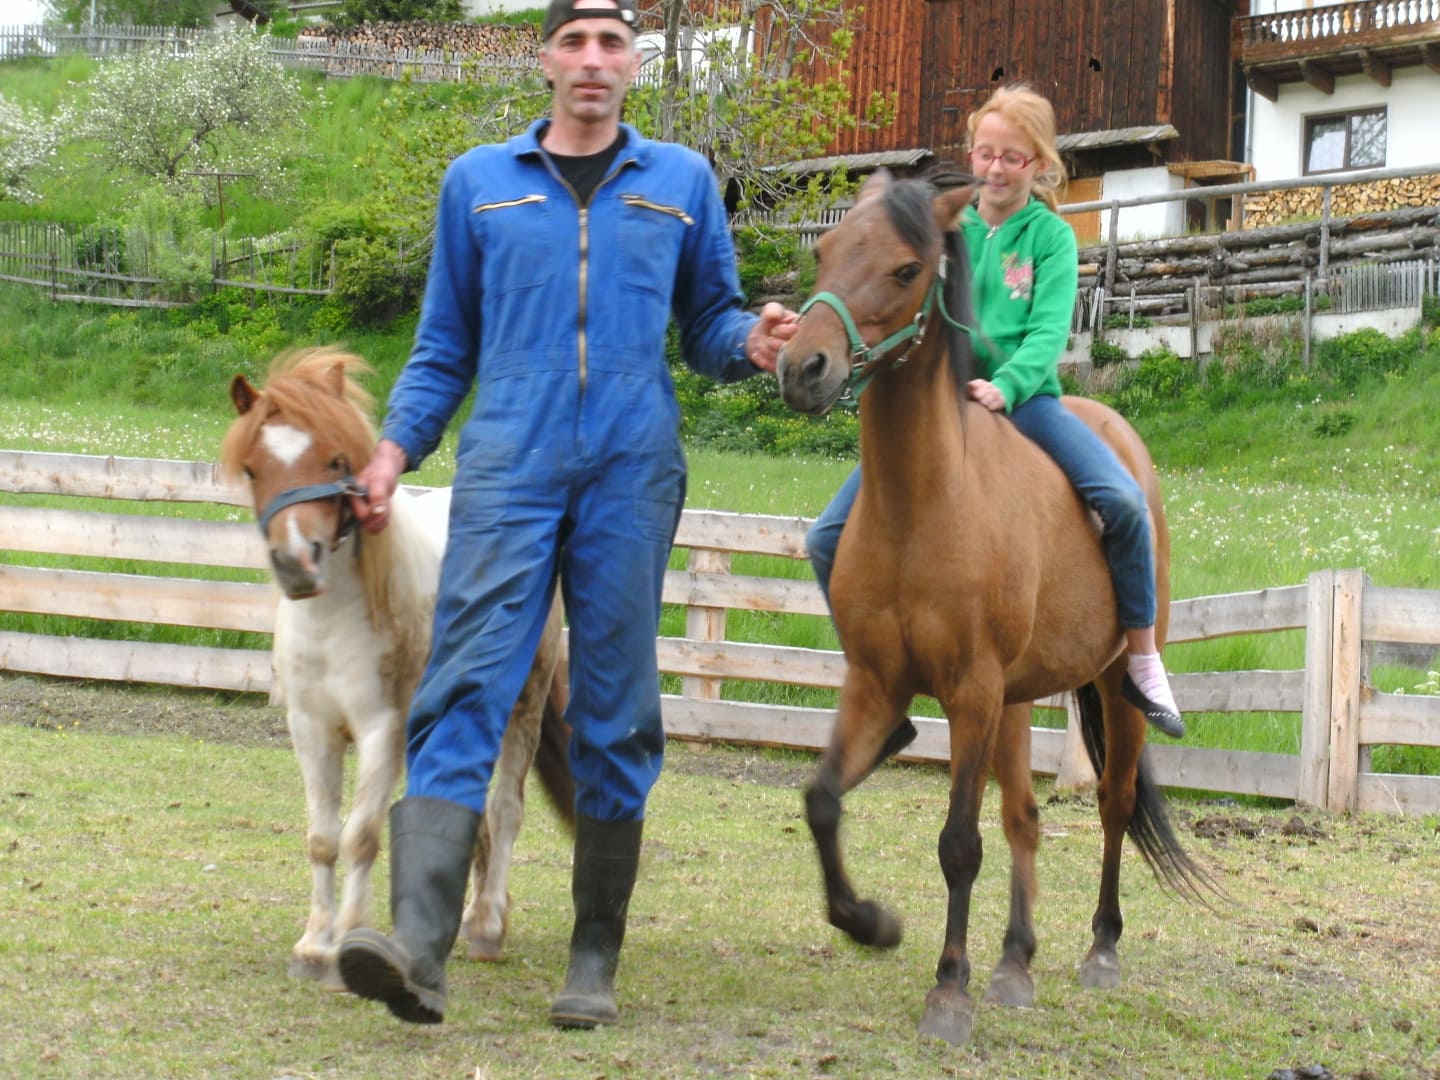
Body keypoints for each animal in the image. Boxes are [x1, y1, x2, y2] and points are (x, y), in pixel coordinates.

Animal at [220, 347, 574, 988]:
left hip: (524, 706)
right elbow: (322, 839)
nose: (298, 563)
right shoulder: (311, 730)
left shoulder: (381, 730)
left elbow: (361, 837)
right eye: (255, 469)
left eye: (336, 459)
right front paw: (313, 945)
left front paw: (346, 946)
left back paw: (487, 925)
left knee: (505, 809)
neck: (336, 620)